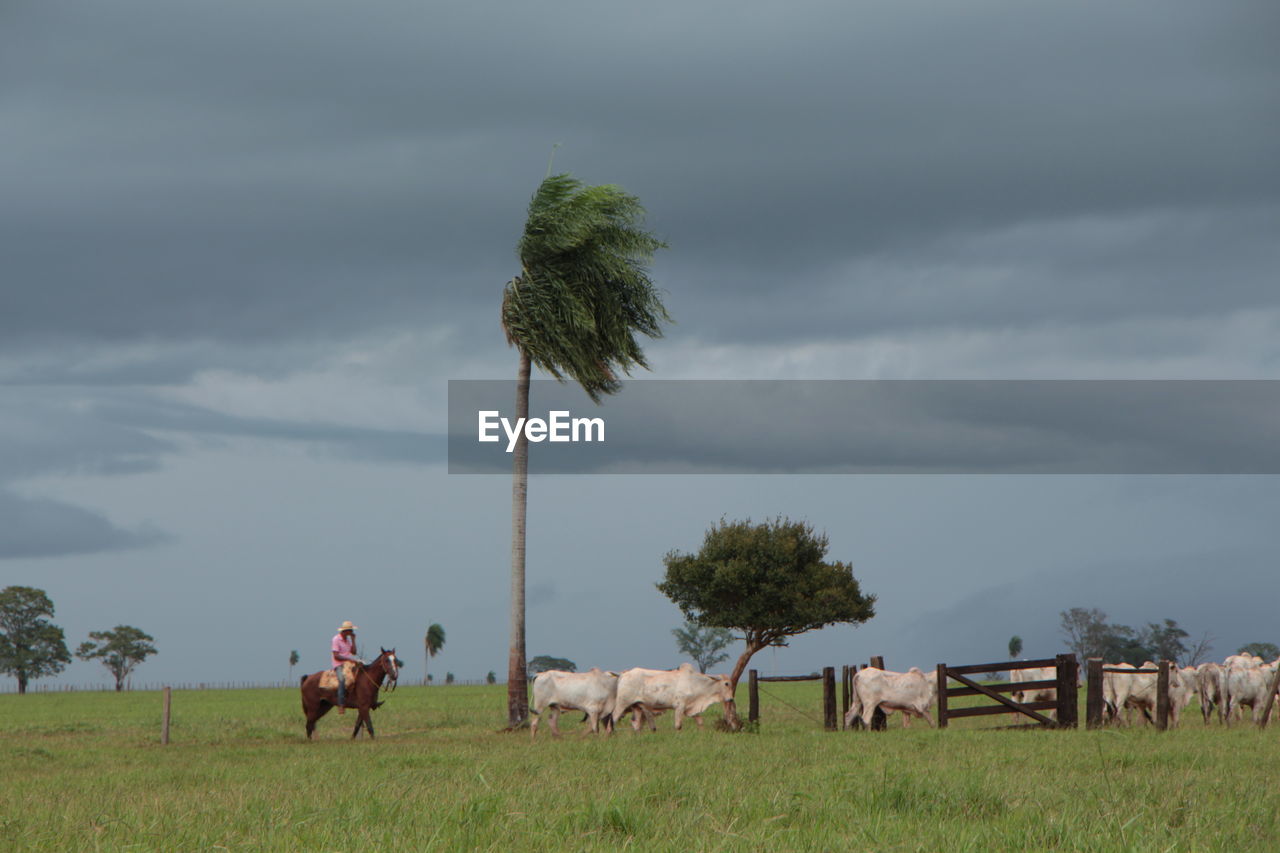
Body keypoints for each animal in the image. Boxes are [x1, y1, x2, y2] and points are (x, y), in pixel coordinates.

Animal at [611, 660, 742, 727]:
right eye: (726, 683)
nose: (731, 699)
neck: (695, 683)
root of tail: (624, 674)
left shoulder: (690, 708)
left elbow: (700, 722)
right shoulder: (680, 706)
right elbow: (678, 725)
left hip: (636, 706)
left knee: (635, 722)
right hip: (622, 703)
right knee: (614, 718)